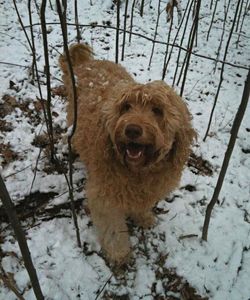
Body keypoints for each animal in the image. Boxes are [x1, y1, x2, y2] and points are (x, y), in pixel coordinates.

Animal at [59, 43, 196, 264]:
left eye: (157, 110)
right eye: (126, 107)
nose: (132, 130)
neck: (137, 172)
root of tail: (87, 63)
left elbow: (141, 206)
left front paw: (144, 217)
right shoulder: (105, 196)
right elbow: (113, 229)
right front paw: (120, 254)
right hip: (74, 114)